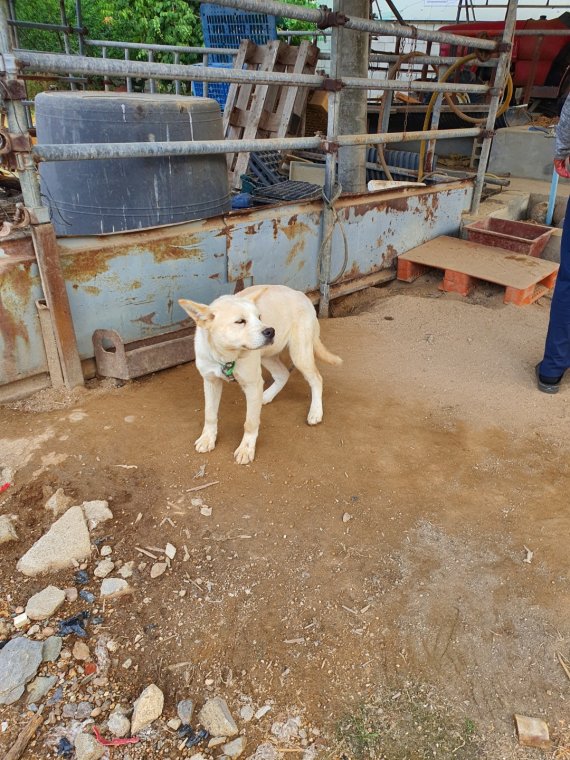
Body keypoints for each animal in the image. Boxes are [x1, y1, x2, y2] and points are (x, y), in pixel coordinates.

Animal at [178, 284, 340, 464]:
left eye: (259, 317)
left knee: (317, 379)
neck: (225, 356)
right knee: (283, 374)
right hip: (266, 356)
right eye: (240, 321)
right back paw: (266, 396)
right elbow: (210, 414)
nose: (270, 331)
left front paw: (246, 449)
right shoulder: (210, 382)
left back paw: (316, 412)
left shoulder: (252, 384)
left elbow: (250, 422)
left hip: (299, 354)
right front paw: (207, 438)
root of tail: (301, 294)